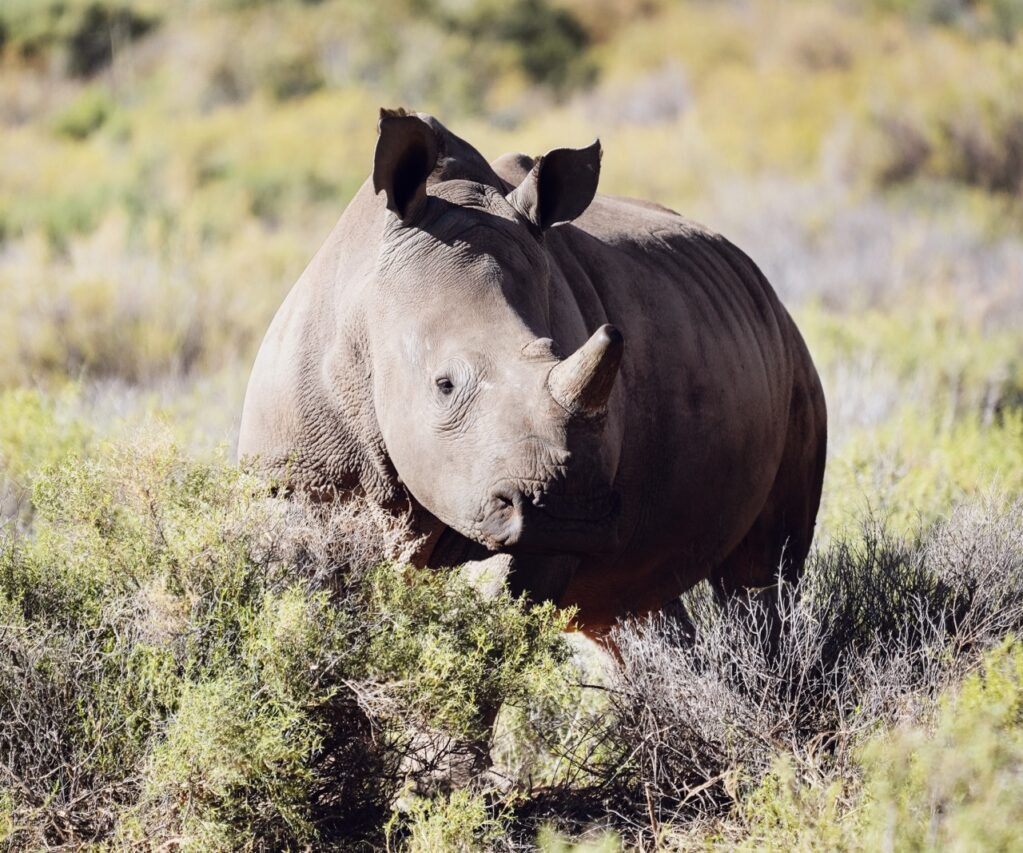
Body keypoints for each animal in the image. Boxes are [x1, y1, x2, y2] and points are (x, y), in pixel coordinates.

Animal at [238, 109, 827, 639]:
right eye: (444, 385)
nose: (566, 513)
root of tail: (758, 276)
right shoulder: (295, 480)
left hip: (792, 359)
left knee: (760, 581)